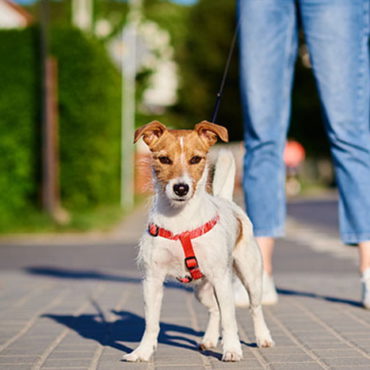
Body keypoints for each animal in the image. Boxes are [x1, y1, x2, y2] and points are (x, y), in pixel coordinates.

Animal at [124, 120, 274, 362]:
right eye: (164, 159)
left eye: (196, 159)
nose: (181, 188)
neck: (180, 222)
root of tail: (226, 200)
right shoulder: (152, 280)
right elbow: (151, 323)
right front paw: (142, 351)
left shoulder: (222, 279)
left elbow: (230, 320)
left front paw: (232, 350)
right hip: (201, 290)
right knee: (214, 309)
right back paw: (209, 339)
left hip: (249, 275)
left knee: (254, 307)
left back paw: (262, 337)